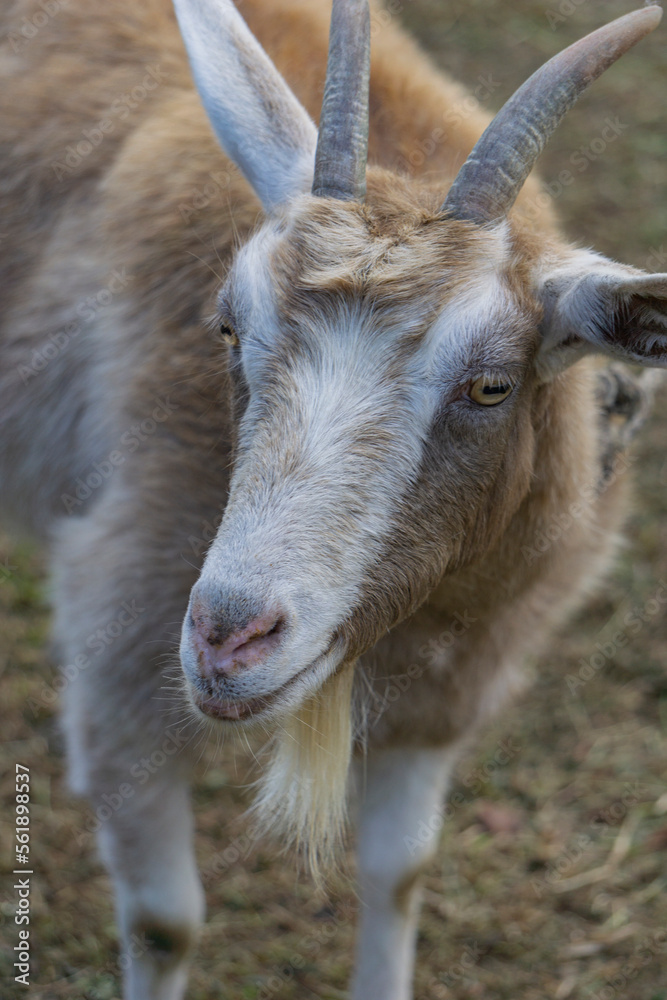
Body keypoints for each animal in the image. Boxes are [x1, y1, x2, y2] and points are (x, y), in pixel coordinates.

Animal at [1, 0, 667, 996]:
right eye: (228, 329)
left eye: (491, 386)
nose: (228, 640)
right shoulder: (117, 652)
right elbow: (164, 924)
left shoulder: (444, 696)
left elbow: (400, 876)